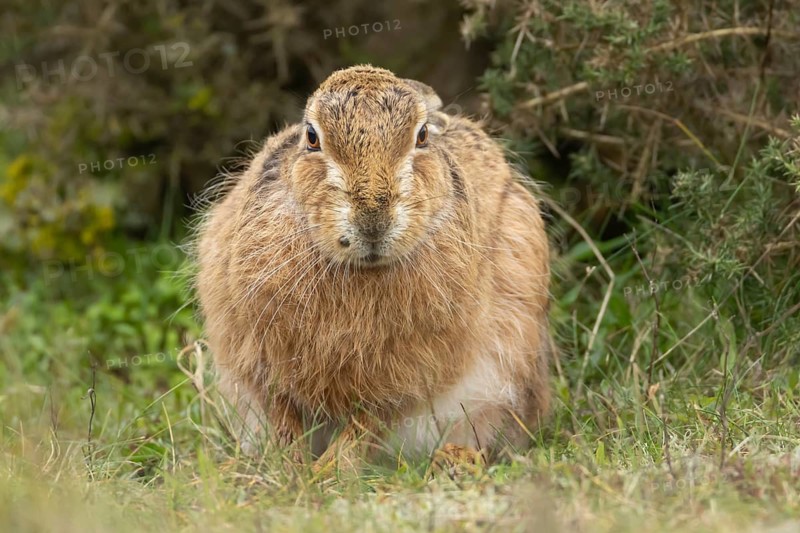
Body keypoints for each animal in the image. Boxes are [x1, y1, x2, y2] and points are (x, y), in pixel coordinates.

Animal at [195, 65, 553, 469]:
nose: (372, 219)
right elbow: (283, 415)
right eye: (311, 137)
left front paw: (327, 472)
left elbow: (367, 424)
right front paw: (292, 469)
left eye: (422, 136)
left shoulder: (408, 379)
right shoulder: (259, 361)